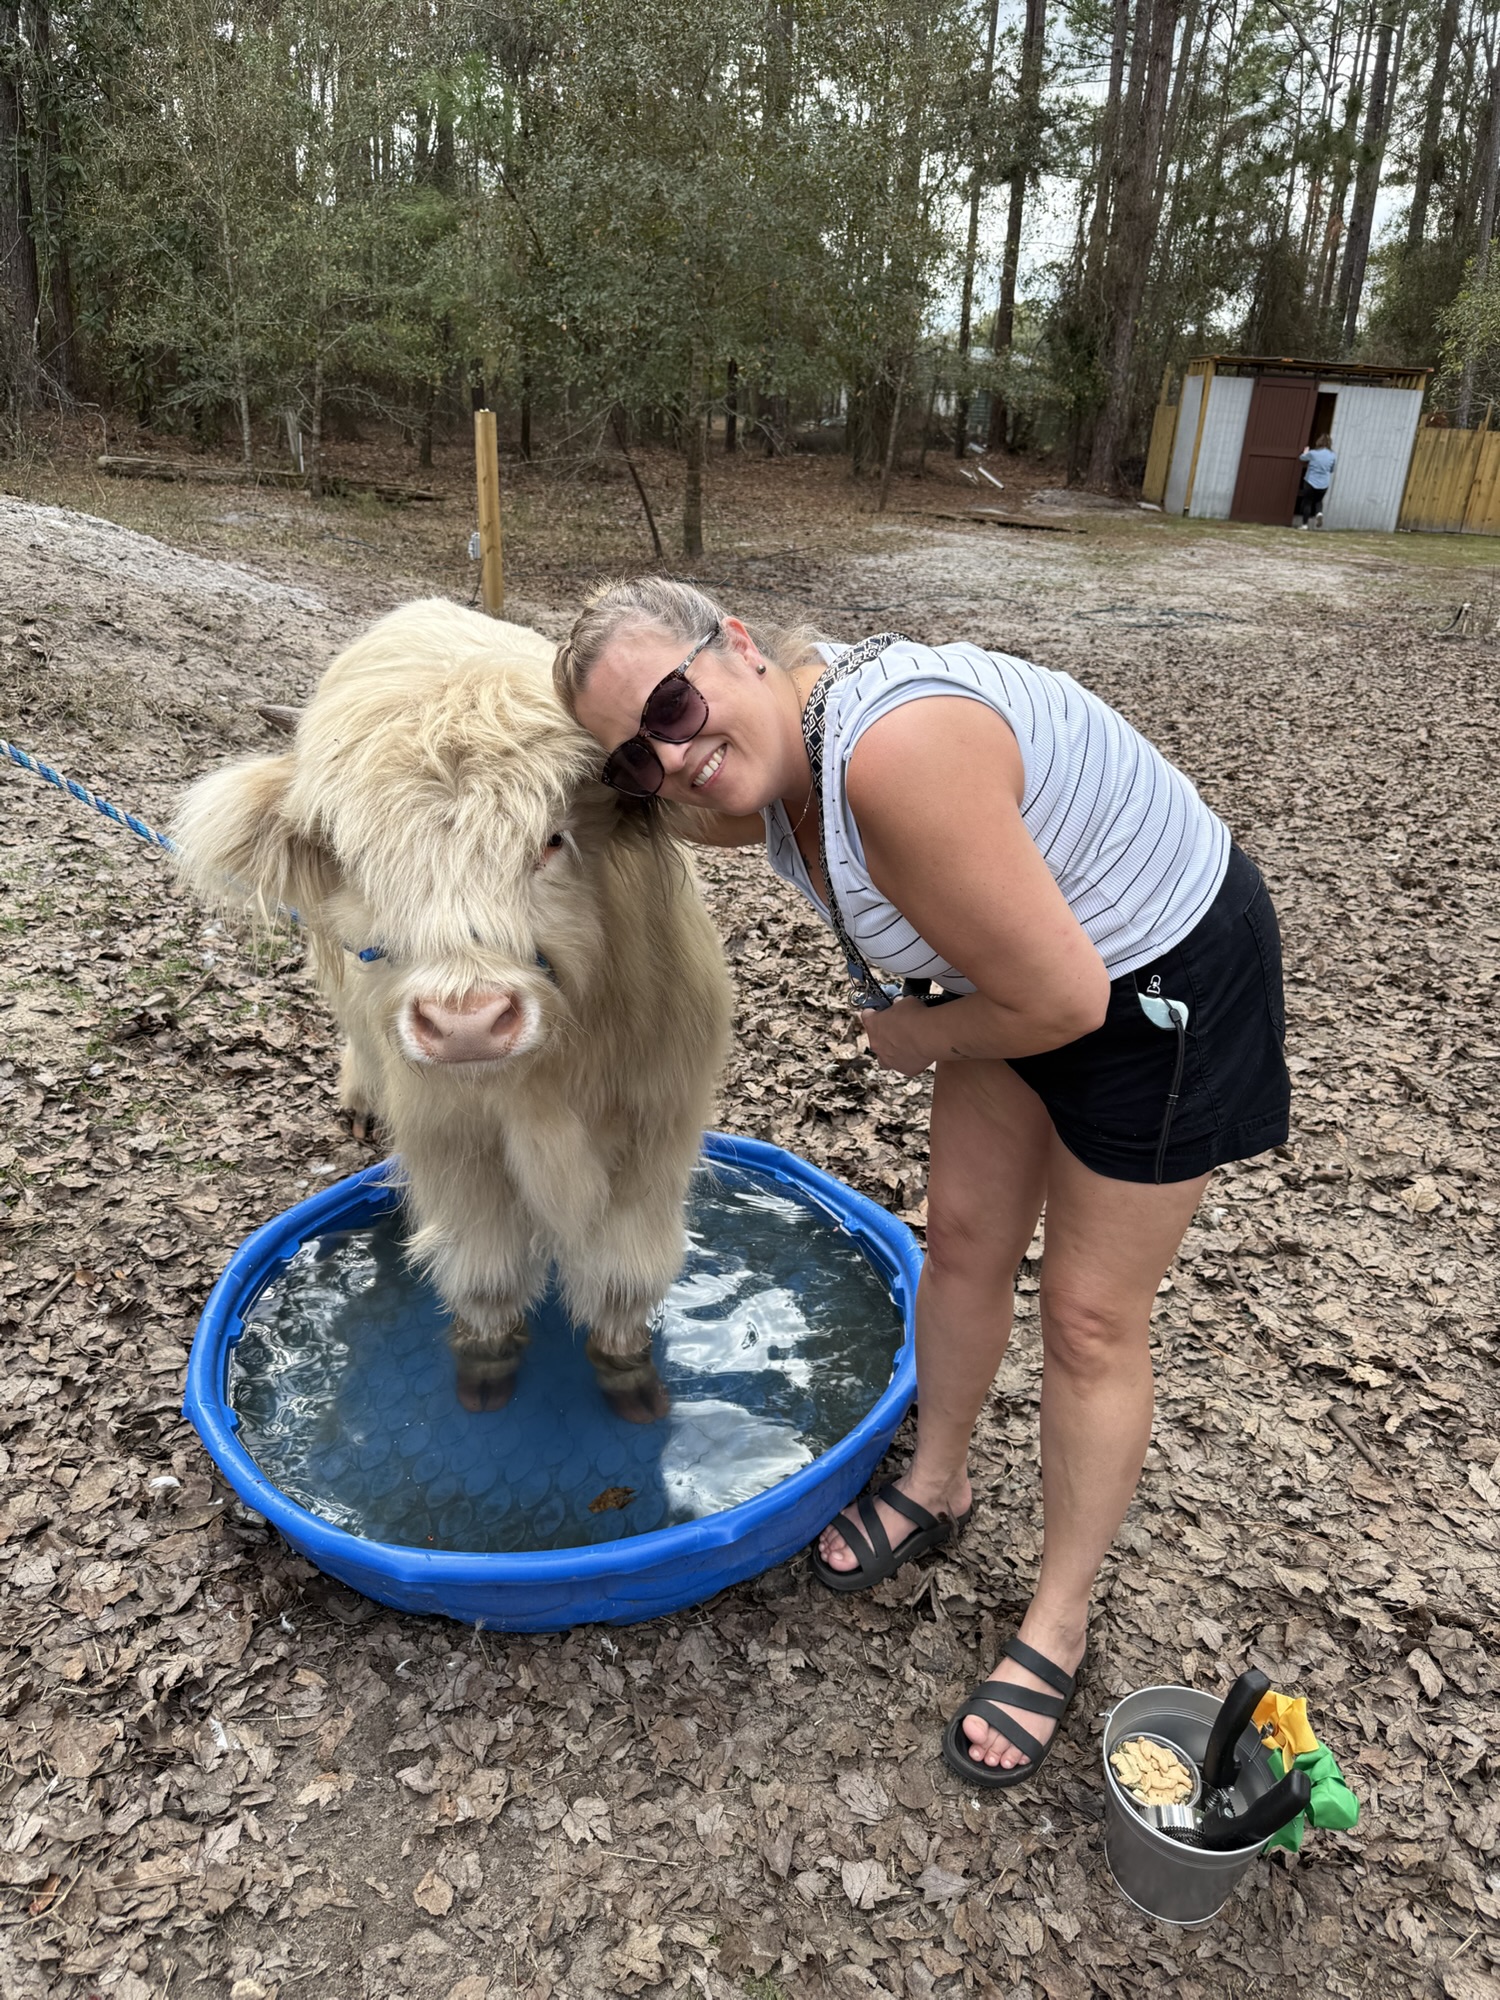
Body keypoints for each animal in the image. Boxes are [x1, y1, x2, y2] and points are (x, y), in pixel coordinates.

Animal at [173, 599, 732, 1422]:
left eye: (553, 839)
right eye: (356, 859)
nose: (467, 1022)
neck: (543, 1082)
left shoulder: (654, 1124)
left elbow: (624, 1277)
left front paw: (629, 1380)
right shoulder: (452, 1141)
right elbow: (485, 1274)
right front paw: (485, 1374)